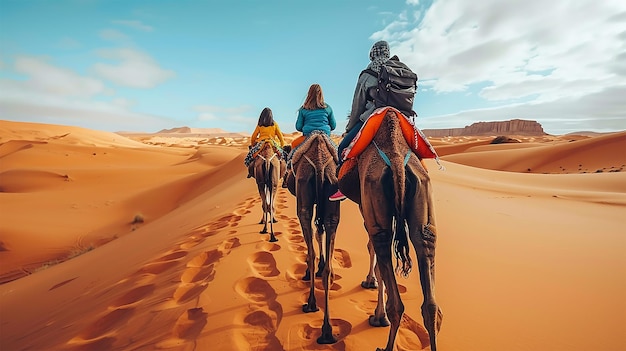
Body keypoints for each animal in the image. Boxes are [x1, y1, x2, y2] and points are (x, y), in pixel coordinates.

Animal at [284, 131, 338, 344]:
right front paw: (321, 267)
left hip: (303, 195)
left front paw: (308, 271)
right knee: (328, 226)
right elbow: (320, 231)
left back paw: (311, 303)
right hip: (332, 193)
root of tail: (320, 164)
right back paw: (327, 331)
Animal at [338, 110, 442, 351]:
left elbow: (371, 251)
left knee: (380, 244)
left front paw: (375, 305)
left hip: (375, 202)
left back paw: (385, 342)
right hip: (423, 198)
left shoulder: (365, 210)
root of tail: (395, 160)